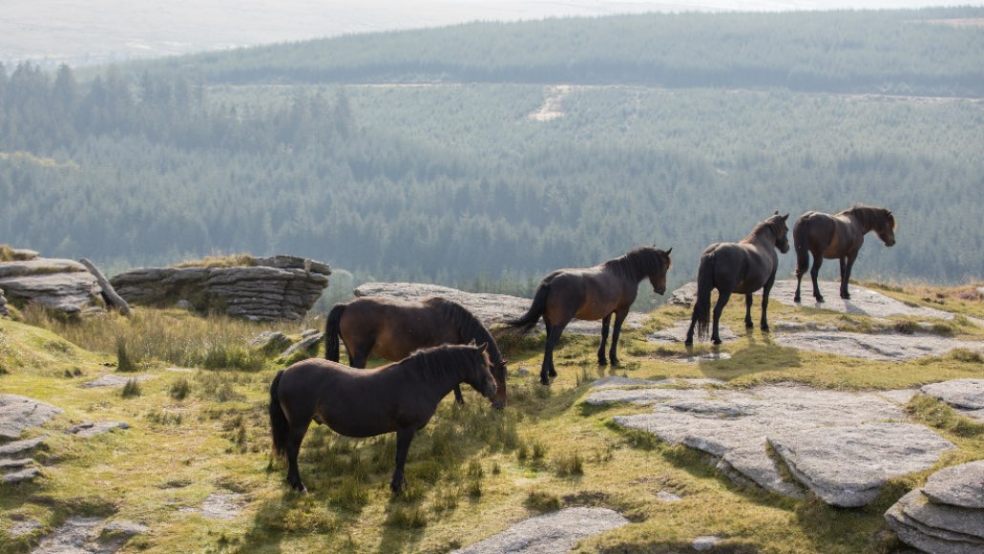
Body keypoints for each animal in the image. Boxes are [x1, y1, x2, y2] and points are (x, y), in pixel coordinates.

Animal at [270, 340, 500, 492]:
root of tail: (286, 371)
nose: (493, 388)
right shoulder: (406, 429)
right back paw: (298, 485)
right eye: (484, 364)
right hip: (299, 424)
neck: (419, 380)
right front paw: (398, 487)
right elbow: (401, 457)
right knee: (292, 450)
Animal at [322, 296, 508, 408]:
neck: (454, 323)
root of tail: (346, 306)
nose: (501, 405)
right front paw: (461, 403)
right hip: (360, 353)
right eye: (498, 376)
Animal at [508, 246, 668, 384]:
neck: (625, 273)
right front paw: (614, 359)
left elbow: (605, 333)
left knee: (549, 343)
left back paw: (552, 372)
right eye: (665, 267)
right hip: (560, 323)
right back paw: (544, 377)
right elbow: (616, 334)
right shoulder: (622, 311)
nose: (662, 290)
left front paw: (602, 359)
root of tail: (550, 282)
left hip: (549, 321)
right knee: (550, 344)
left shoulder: (607, 312)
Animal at [684, 212, 792, 344]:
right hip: (725, 292)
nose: (787, 247)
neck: (763, 243)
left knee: (697, 310)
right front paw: (764, 325)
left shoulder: (749, 287)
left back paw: (689, 339)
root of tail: (713, 253)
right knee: (717, 311)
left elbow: (749, 302)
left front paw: (749, 322)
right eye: (786, 229)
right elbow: (764, 302)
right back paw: (716, 338)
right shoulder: (769, 282)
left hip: (705, 288)